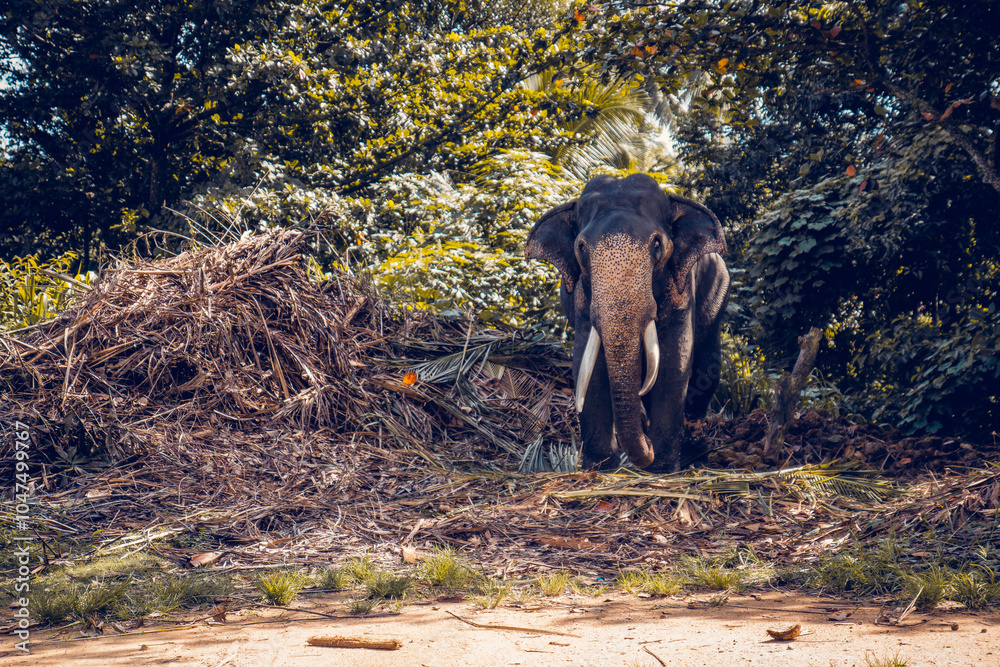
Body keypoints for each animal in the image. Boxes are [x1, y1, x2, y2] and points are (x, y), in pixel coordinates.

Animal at [525, 174, 730, 472]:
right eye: (581, 248)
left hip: (720, 291)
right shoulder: (583, 300)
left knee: (707, 368)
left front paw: (661, 468)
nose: (648, 447)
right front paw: (600, 467)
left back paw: (696, 457)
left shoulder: (682, 289)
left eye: (657, 244)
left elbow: (675, 363)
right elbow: (588, 365)